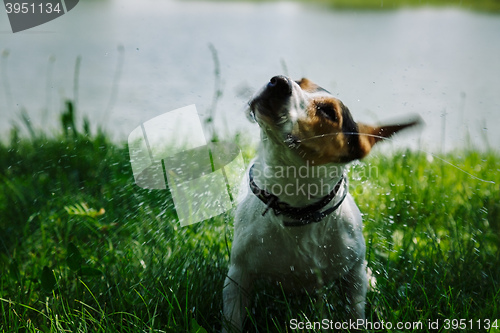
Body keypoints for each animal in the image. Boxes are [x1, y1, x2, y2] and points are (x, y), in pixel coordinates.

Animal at [222, 76, 418, 330]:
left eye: (328, 112)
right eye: (299, 81)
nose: (279, 81)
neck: (297, 208)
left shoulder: (353, 272)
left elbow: (355, 312)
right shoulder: (239, 273)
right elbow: (232, 319)